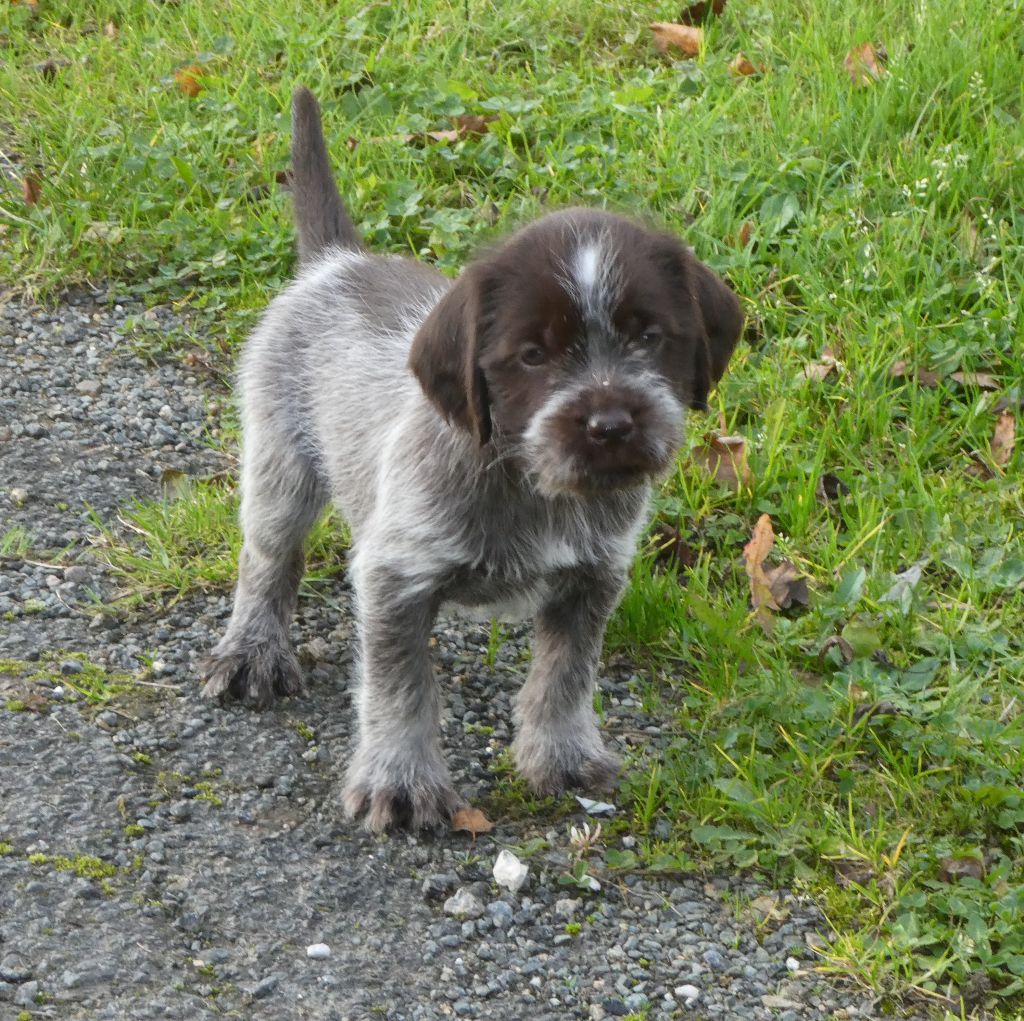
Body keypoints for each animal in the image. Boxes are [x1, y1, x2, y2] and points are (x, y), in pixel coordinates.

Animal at [202, 87, 743, 832]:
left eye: (649, 335)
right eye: (532, 354)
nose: (610, 424)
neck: (529, 482)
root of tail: (336, 262)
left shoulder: (594, 578)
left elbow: (566, 674)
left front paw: (560, 753)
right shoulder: (395, 579)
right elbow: (400, 689)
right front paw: (400, 780)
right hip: (280, 467)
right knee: (267, 560)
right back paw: (252, 651)